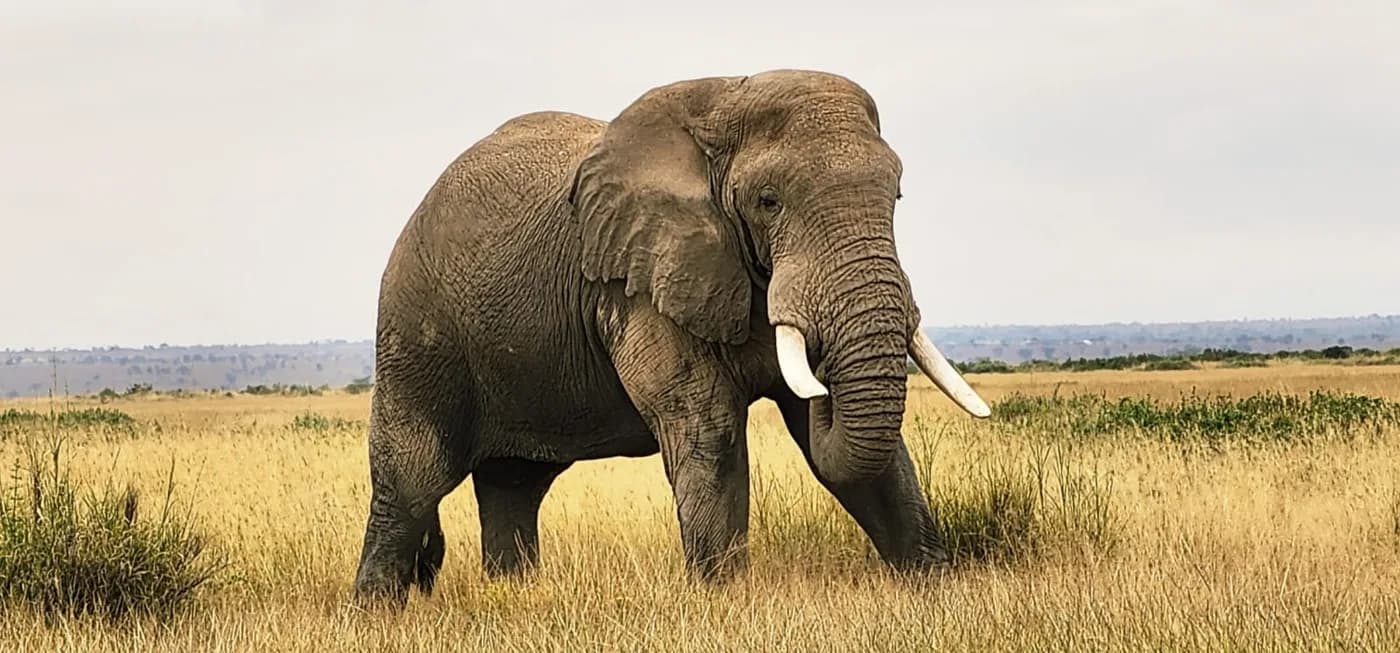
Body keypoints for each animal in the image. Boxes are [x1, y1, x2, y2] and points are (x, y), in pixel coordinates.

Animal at [351, 69, 991, 607]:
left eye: (897, 197)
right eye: (768, 201)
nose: (822, 386)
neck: (725, 99)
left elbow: (864, 458)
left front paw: (934, 591)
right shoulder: (639, 279)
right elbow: (709, 427)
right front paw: (725, 605)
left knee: (513, 486)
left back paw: (513, 594)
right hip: (416, 328)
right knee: (413, 480)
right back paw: (376, 614)